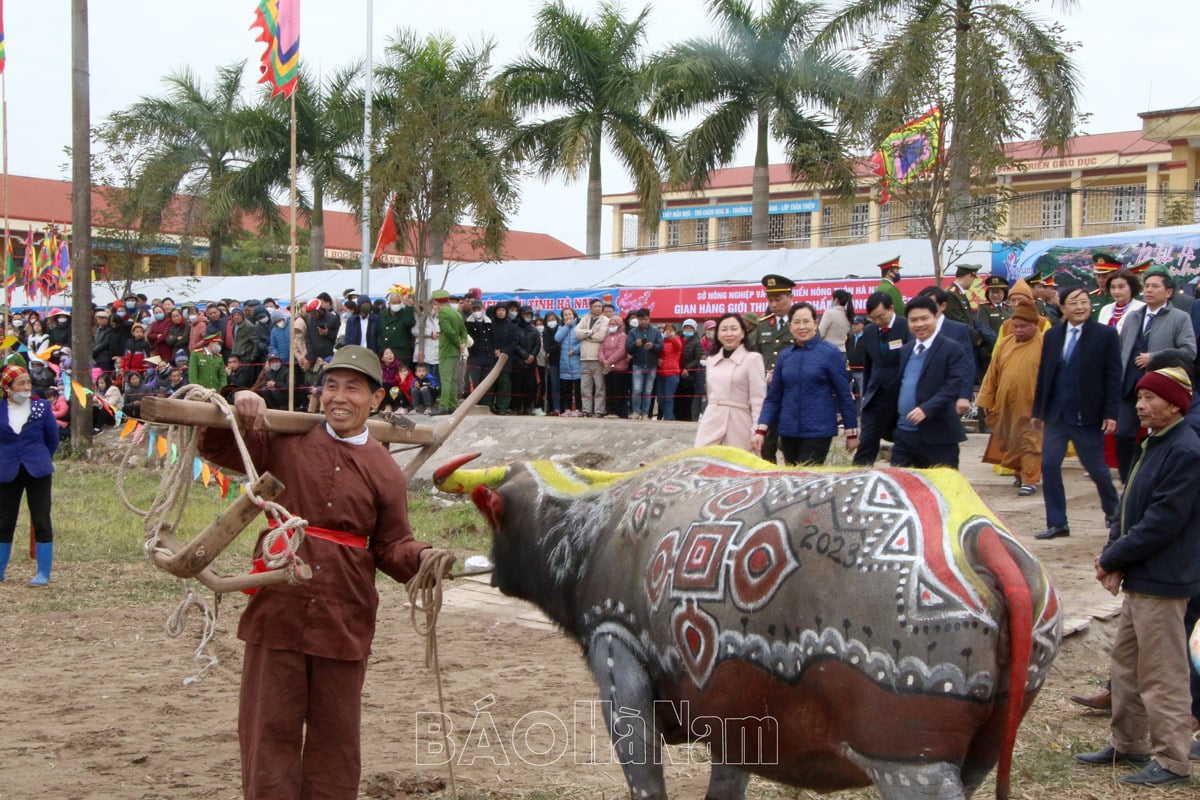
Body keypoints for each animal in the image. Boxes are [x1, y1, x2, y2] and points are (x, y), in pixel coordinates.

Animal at [434, 448, 1060, 796]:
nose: (492, 573)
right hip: (975, 760)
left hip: (910, 764)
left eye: (495, 515)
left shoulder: (617, 660)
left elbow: (646, 781)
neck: (591, 532)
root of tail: (978, 534)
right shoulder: (734, 720)